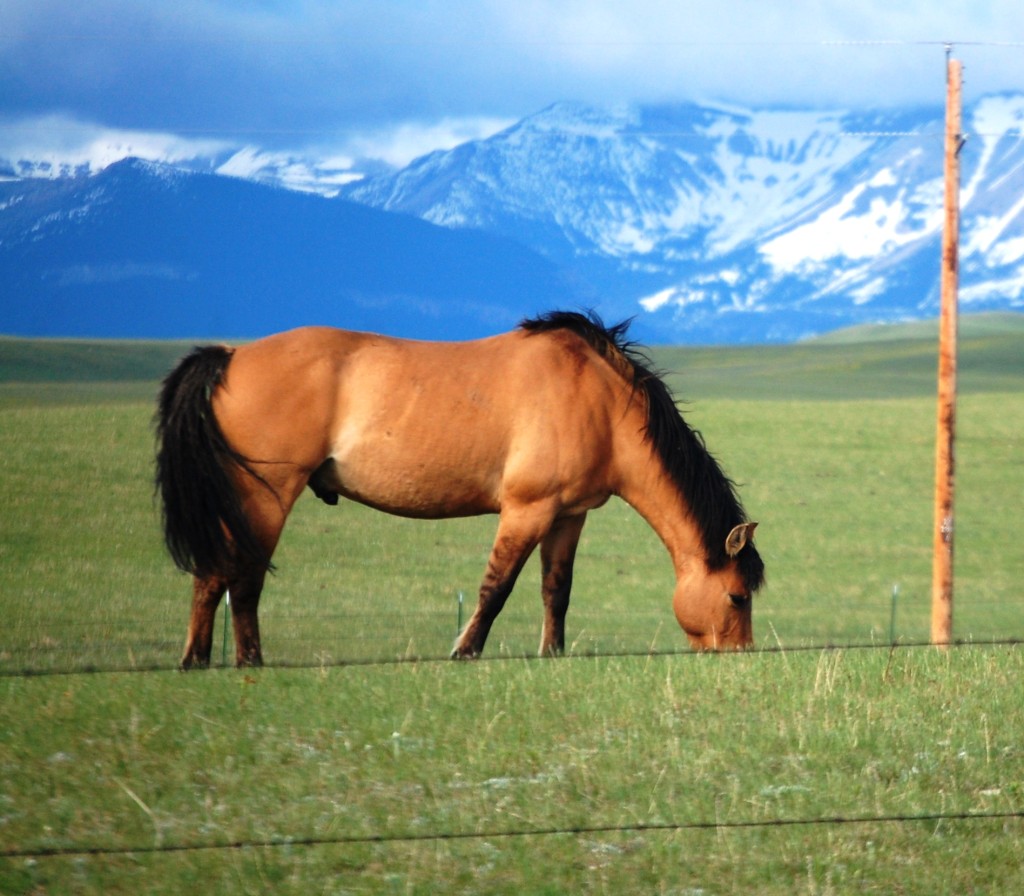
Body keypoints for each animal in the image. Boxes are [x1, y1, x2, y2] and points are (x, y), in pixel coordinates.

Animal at [151, 309, 761, 667]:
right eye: (737, 596)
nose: (739, 654)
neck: (599, 402)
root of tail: (231, 356)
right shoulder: (526, 510)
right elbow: (497, 587)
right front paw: (465, 650)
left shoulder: (568, 516)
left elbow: (556, 590)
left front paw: (552, 652)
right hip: (266, 496)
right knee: (241, 576)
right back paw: (246, 660)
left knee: (214, 575)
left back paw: (197, 659)